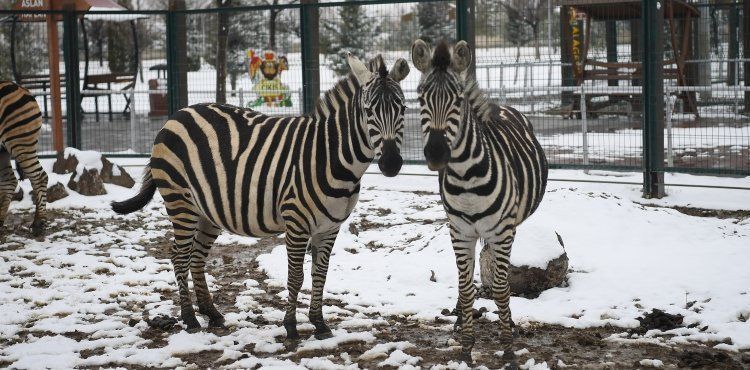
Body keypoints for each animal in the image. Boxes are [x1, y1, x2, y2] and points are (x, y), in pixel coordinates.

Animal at [0, 81, 47, 237]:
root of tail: (20, 87)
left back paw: (39, 225)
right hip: (3, 150)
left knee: (39, 177)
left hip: (19, 141)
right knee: (9, 181)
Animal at [110, 53, 412, 340]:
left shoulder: (330, 227)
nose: (391, 164)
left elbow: (321, 275)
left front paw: (319, 324)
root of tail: (177, 114)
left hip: (208, 211)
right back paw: (190, 319)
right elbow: (296, 276)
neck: (332, 158)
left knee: (196, 257)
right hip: (180, 201)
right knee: (179, 255)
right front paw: (291, 327)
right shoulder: (296, 222)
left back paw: (211, 313)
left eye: (403, 108)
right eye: (368, 111)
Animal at [412, 40, 552, 364]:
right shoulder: (459, 231)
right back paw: (460, 321)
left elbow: (501, 287)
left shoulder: (502, 231)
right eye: (420, 96)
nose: (436, 154)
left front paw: (508, 348)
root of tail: (501, 106)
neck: (466, 178)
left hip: (507, 226)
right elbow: (465, 287)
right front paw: (466, 346)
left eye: (457, 99)